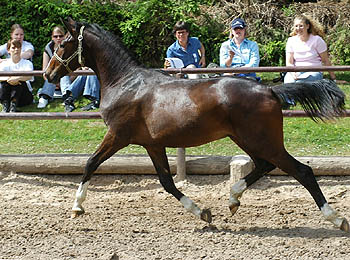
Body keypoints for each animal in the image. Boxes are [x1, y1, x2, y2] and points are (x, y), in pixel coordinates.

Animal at [45, 17, 348, 232]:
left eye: (62, 44)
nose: (49, 73)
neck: (125, 83)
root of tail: (271, 91)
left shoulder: (118, 135)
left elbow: (90, 163)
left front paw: (77, 208)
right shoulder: (152, 144)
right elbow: (167, 182)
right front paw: (203, 213)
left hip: (263, 140)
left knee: (302, 171)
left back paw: (336, 219)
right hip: (247, 139)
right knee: (264, 165)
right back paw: (233, 200)